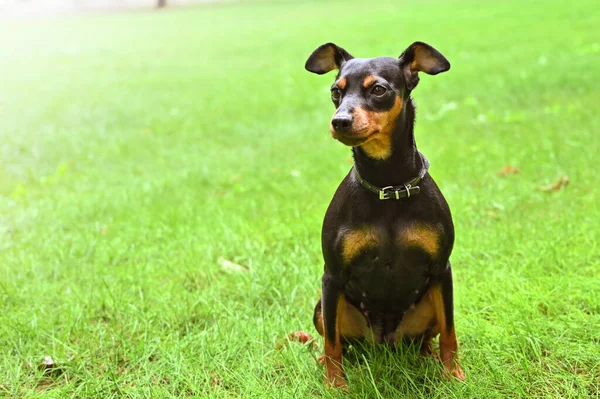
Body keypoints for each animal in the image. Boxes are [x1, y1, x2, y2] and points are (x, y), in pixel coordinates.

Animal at [304, 42, 464, 390]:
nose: (339, 121)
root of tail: (384, 342)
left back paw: (428, 357)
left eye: (378, 89)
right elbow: (332, 343)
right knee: (339, 341)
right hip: (323, 307)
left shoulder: (441, 271)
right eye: (335, 92)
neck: (388, 186)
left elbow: (450, 332)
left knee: (428, 337)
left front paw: (454, 375)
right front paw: (335, 385)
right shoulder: (332, 276)